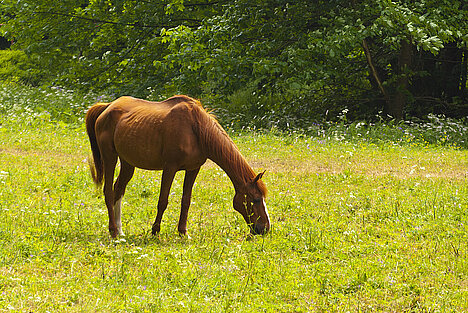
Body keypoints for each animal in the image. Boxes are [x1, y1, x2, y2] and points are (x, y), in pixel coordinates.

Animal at [85, 94, 270, 236]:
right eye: (255, 199)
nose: (265, 228)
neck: (196, 129)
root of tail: (107, 107)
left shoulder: (193, 169)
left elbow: (186, 200)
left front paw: (183, 232)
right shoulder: (170, 168)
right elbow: (163, 200)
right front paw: (155, 231)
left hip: (128, 163)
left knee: (118, 190)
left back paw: (120, 231)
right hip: (110, 157)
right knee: (109, 191)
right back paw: (113, 231)